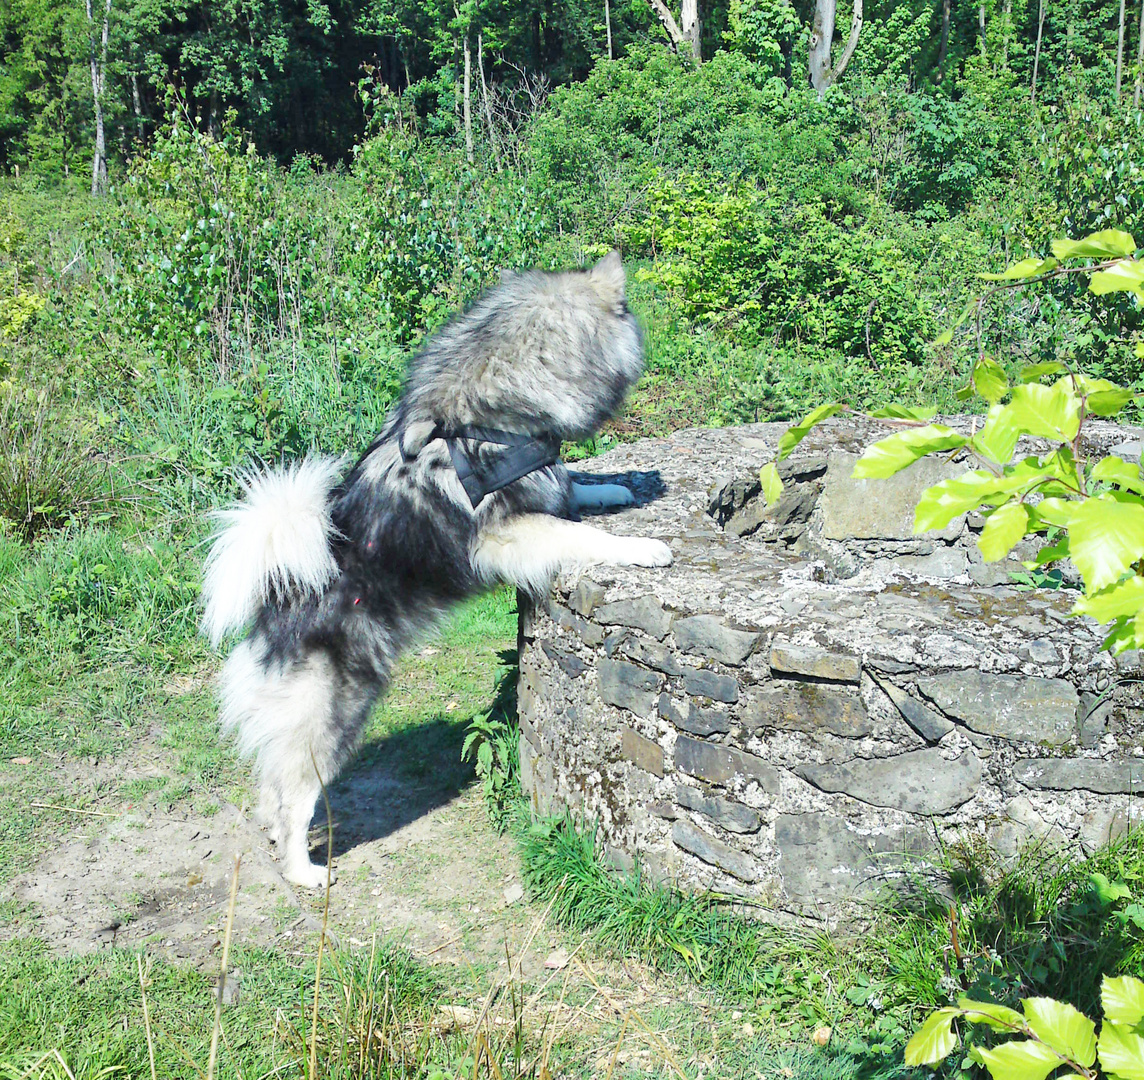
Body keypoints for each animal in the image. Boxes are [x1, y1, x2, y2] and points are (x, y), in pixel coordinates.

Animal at [201, 250, 672, 887]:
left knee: (271, 793)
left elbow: (579, 488)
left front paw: (621, 487)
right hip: (331, 718)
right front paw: (645, 546)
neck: (484, 416)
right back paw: (304, 872)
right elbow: (580, 532)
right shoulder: (505, 536)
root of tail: (274, 609)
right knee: (294, 797)